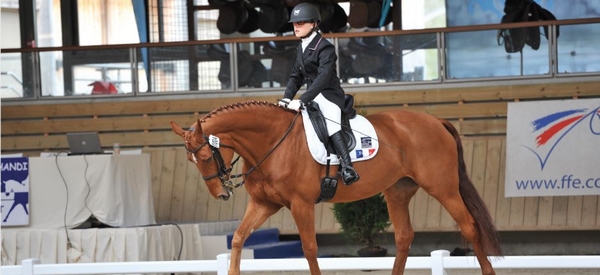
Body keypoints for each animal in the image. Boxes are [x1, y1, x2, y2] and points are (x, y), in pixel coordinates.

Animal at [171, 100, 504, 274]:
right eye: (190, 160)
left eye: (205, 156)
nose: (221, 193)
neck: (272, 142)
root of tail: (436, 121)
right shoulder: (264, 204)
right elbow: (239, 239)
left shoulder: (301, 204)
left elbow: (309, 248)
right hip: (398, 191)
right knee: (404, 237)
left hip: (443, 188)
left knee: (470, 226)